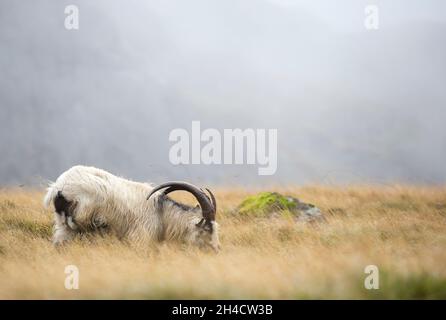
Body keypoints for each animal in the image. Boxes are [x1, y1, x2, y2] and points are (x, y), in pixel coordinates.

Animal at [42, 166, 220, 251]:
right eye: (206, 229)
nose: (216, 249)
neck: (161, 213)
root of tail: (58, 188)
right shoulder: (140, 237)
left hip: (63, 227)